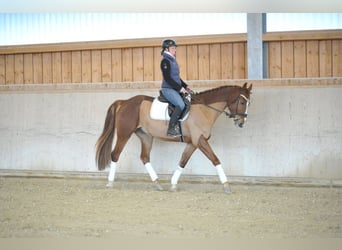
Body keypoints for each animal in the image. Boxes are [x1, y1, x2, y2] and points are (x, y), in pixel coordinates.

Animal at [95, 82, 252, 193]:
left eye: (248, 103)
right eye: (242, 102)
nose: (242, 123)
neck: (204, 109)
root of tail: (124, 102)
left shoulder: (193, 143)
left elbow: (183, 161)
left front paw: (173, 184)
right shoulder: (200, 140)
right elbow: (215, 160)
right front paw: (226, 185)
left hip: (146, 136)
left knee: (144, 157)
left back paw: (158, 183)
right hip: (124, 133)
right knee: (115, 155)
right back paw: (110, 183)